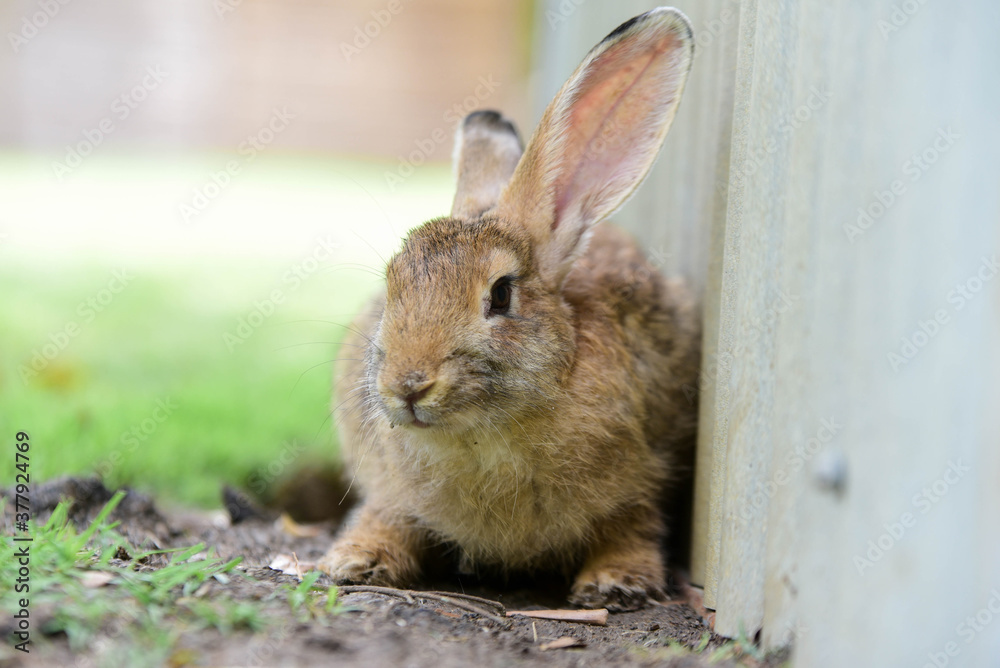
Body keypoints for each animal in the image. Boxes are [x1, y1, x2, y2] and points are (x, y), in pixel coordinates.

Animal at [318, 6, 700, 612]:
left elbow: (633, 524)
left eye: (500, 294)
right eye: (392, 284)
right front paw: (358, 560)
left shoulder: (647, 475)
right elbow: (391, 514)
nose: (408, 385)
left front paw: (616, 581)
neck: (486, 432)